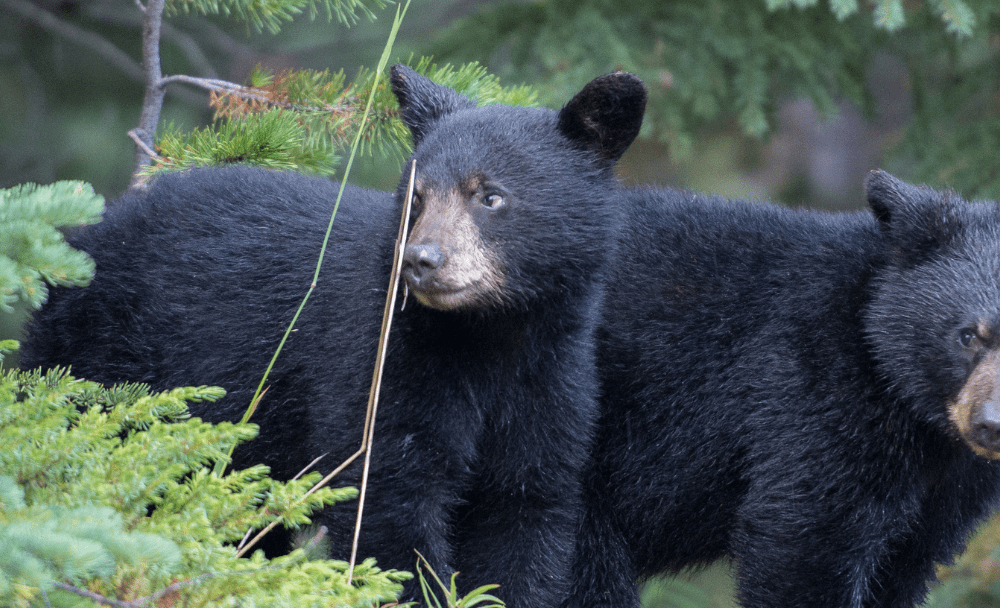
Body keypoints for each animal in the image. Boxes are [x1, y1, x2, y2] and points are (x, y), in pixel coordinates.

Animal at [20, 65, 647, 608]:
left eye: (490, 195)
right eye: (416, 197)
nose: (421, 260)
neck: (489, 337)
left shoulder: (552, 385)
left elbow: (526, 515)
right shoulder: (380, 362)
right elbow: (387, 506)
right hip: (93, 358)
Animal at [564, 170, 1000, 608]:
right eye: (968, 336)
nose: (992, 424)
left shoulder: (951, 491)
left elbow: (904, 564)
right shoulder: (814, 382)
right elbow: (804, 541)